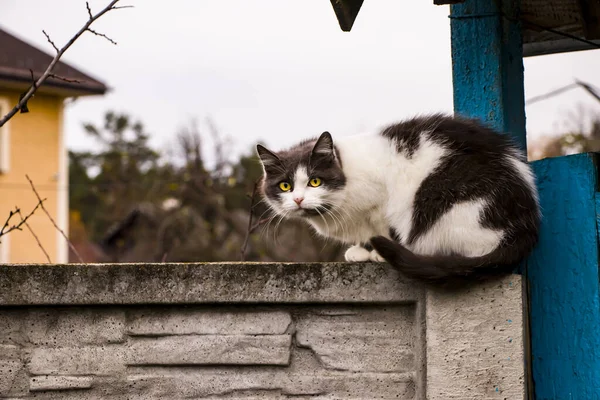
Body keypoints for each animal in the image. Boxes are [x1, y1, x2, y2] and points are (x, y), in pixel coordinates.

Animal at [255, 113, 540, 284]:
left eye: (315, 181)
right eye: (285, 186)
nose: (298, 200)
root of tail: (525, 226)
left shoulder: (381, 202)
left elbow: (383, 227)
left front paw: (377, 253)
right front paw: (360, 250)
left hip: (443, 202)